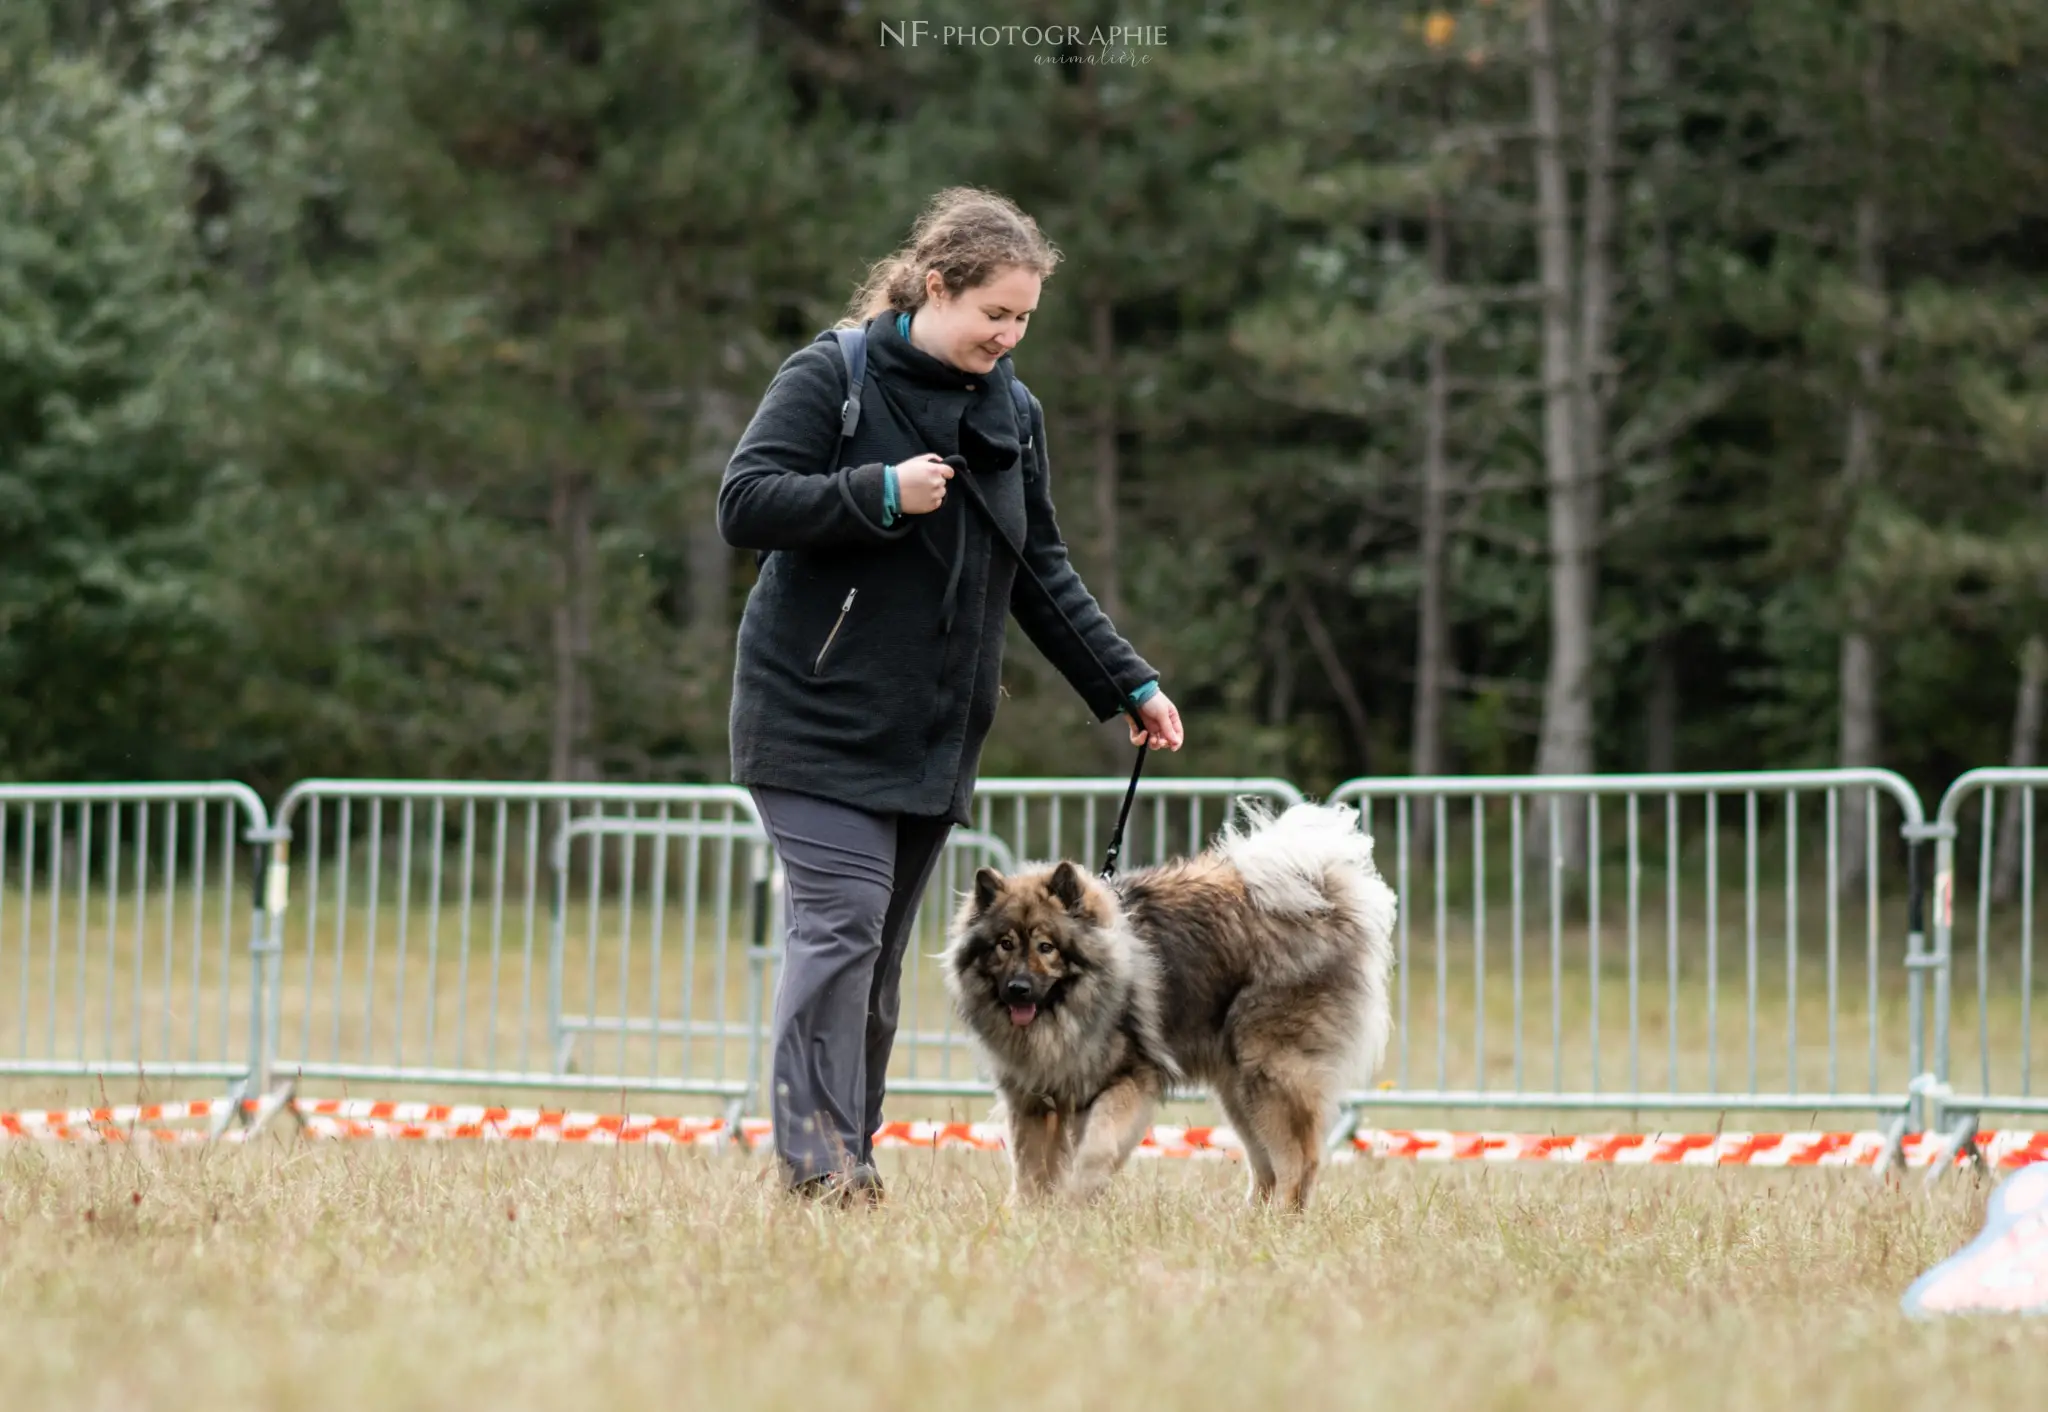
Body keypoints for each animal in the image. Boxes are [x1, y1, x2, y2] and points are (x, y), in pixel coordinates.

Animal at [937, 799, 1392, 1205]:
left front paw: (1076, 1201)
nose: (1018, 988)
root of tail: (1324, 901)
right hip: (1238, 1088)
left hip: (1270, 1075)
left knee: (1299, 1164)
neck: (1064, 1016)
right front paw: (1033, 1216)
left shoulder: (1128, 1080)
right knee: (1267, 1166)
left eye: (1046, 947)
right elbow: (1032, 1173)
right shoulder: (1032, 1100)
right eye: (1004, 944)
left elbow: (1095, 1152)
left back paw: (1281, 1222)